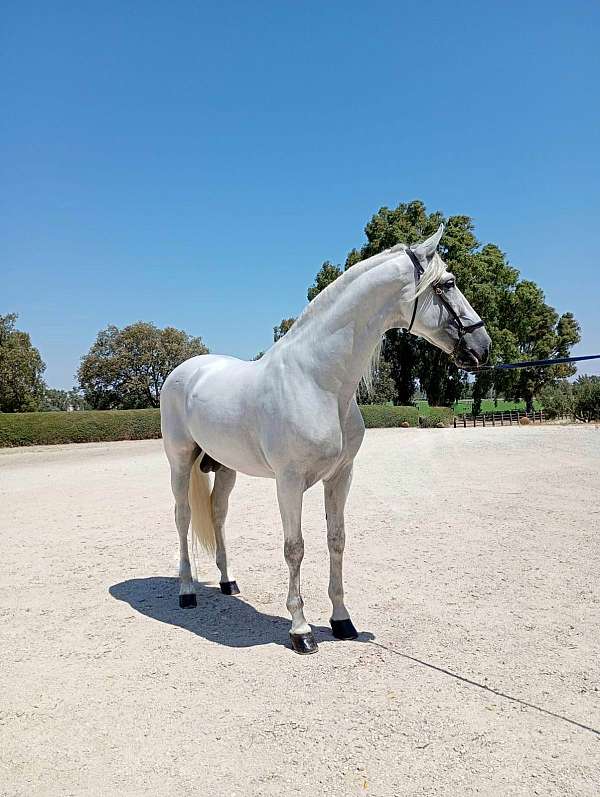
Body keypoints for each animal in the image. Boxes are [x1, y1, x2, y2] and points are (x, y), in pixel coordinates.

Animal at [160, 225, 491, 654]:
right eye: (447, 284)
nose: (482, 348)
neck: (317, 381)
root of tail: (184, 371)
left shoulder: (340, 477)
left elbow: (336, 540)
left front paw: (342, 621)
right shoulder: (289, 482)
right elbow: (295, 548)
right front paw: (300, 630)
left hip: (226, 468)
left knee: (217, 514)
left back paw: (227, 582)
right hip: (180, 461)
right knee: (183, 517)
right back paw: (186, 591)